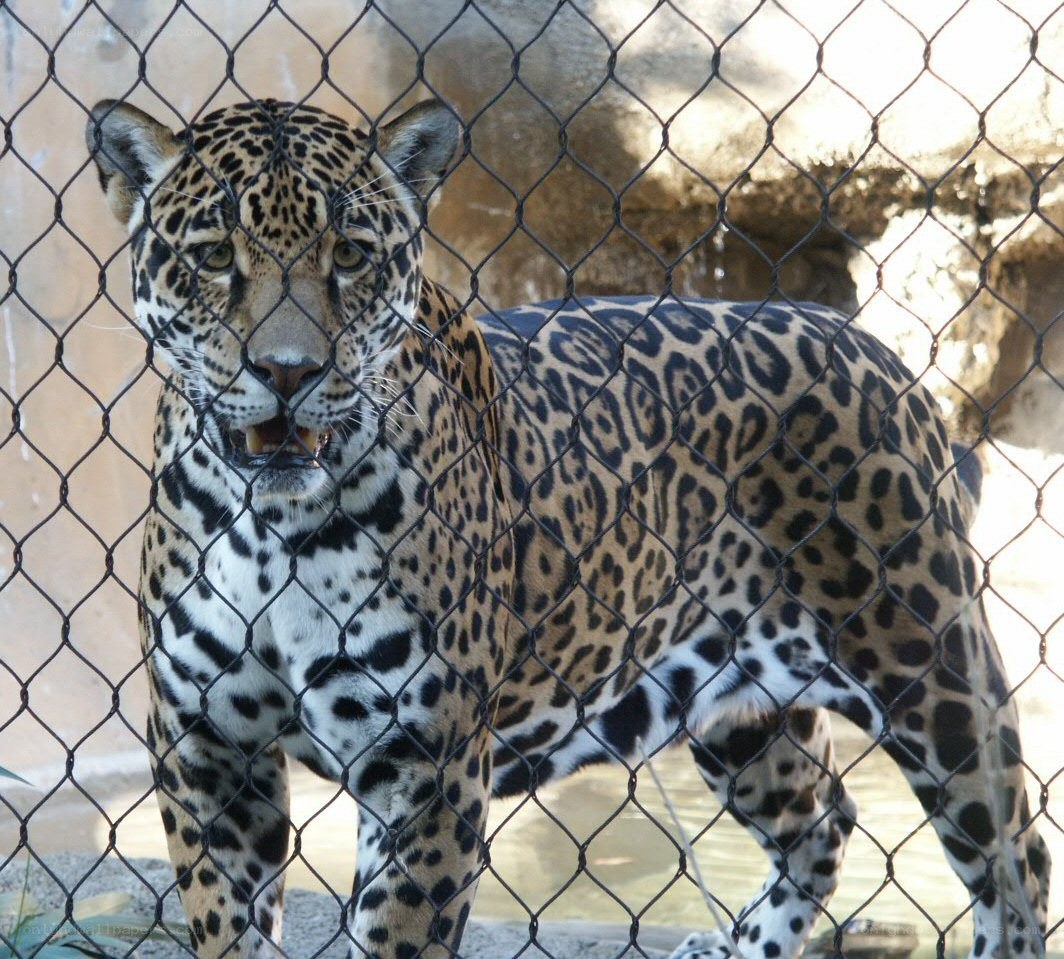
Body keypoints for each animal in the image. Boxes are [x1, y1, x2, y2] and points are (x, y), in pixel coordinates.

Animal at [86, 95, 1050, 959]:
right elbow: (228, 926)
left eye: (352, 255)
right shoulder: (207, 750)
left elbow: (397, 934)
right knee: (823, 819)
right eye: (214, 256)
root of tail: (875, 351)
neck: (272, 528)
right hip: (744, 712)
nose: (288, 372)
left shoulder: (427, 767)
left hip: (930, 670)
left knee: (1015, 856)